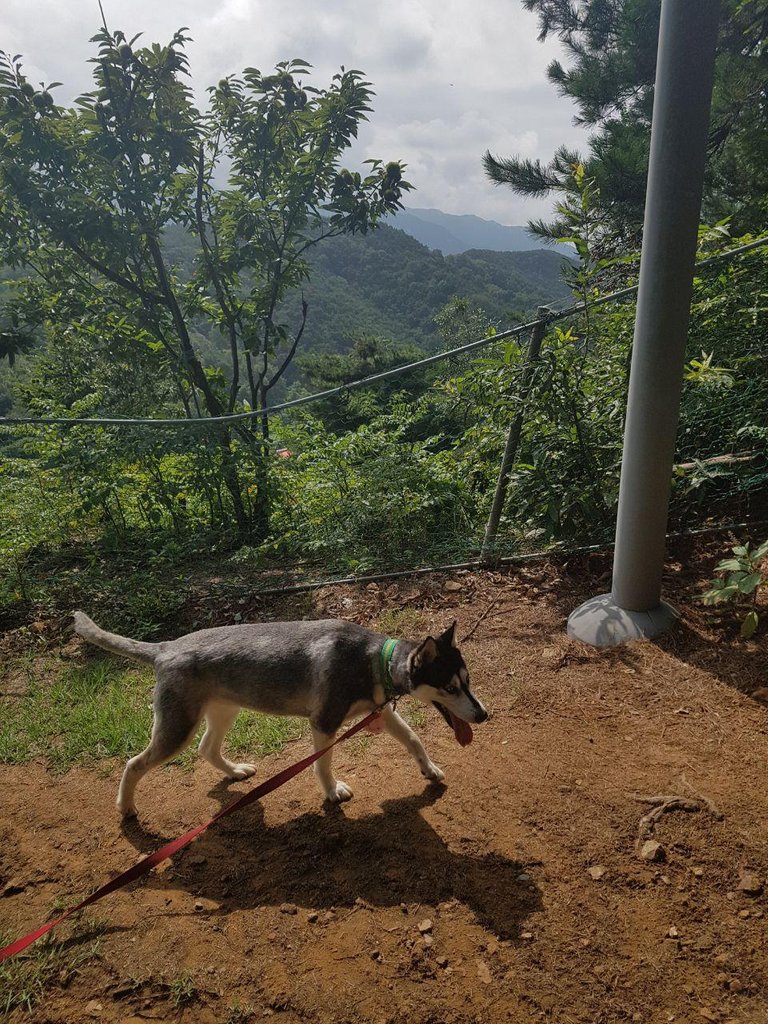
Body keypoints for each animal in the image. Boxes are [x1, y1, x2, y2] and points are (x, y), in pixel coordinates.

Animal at [72, 610, 487, 819]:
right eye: (450, 688)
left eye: (468, 680)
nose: (483, 715)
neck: (374, 660)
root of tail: (164, 647)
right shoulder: (324, 723)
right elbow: (322, 765)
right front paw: (333, 792)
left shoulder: (380, 715)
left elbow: (414, 739)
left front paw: (429, 770)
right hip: (177, 728)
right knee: (134, 764)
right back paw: (125, 807)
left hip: (223, 712)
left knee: (207, 748)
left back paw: (235, 772)